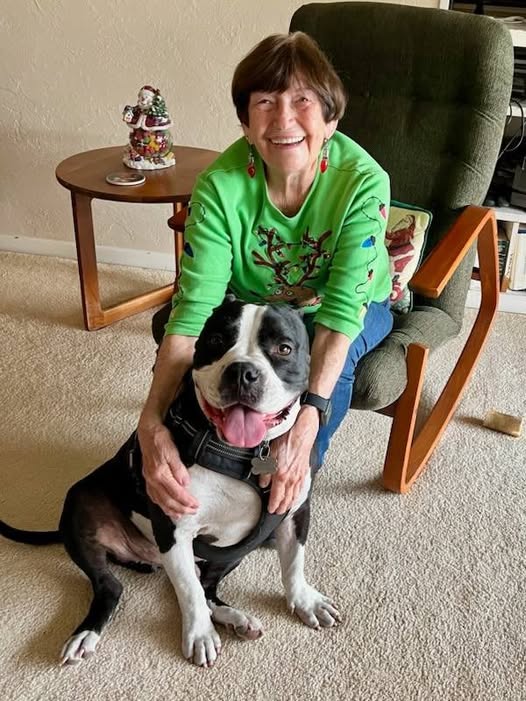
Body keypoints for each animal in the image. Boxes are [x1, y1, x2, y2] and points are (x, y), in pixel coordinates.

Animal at [0, 296, 342, 668]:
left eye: (284, 348)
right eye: (216, 341)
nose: (242, 372)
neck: (244, 455)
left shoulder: (292, 511)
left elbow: (293, 562)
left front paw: (305, 600)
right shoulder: (173, 526)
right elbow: (188, 592)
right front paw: (200, 635)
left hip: (236, 550)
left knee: (207, 588)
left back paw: (236, 619)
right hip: (80, 505)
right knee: (115, 588)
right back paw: (85, 635)